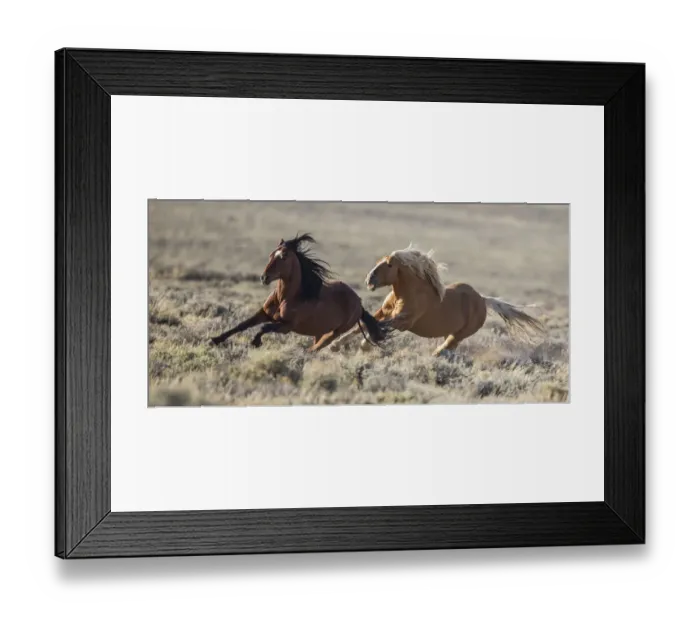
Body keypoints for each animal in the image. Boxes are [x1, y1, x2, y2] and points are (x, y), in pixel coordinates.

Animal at [209, 234, 386, 352]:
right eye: (271, 255)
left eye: (284, 256)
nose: (264, 278)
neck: (287, 297)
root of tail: (359, 302)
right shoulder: (263, 313)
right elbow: (241, 325)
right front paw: (215, 340)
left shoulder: (287, 326)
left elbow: (264, 328)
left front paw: (255, 342)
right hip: (320, 330)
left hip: (336, 332)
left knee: (319, 346)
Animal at [331, 244, 545, 356]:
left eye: (390, 265)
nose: (369, 280)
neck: (406, 294)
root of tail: (483, 300)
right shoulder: (383, 312)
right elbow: (366, 325)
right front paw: (337, 344)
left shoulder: (403, 322)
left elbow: (377, 327)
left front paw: (363, 345)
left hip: (459, 334)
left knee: (448, 347)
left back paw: (434, 357)